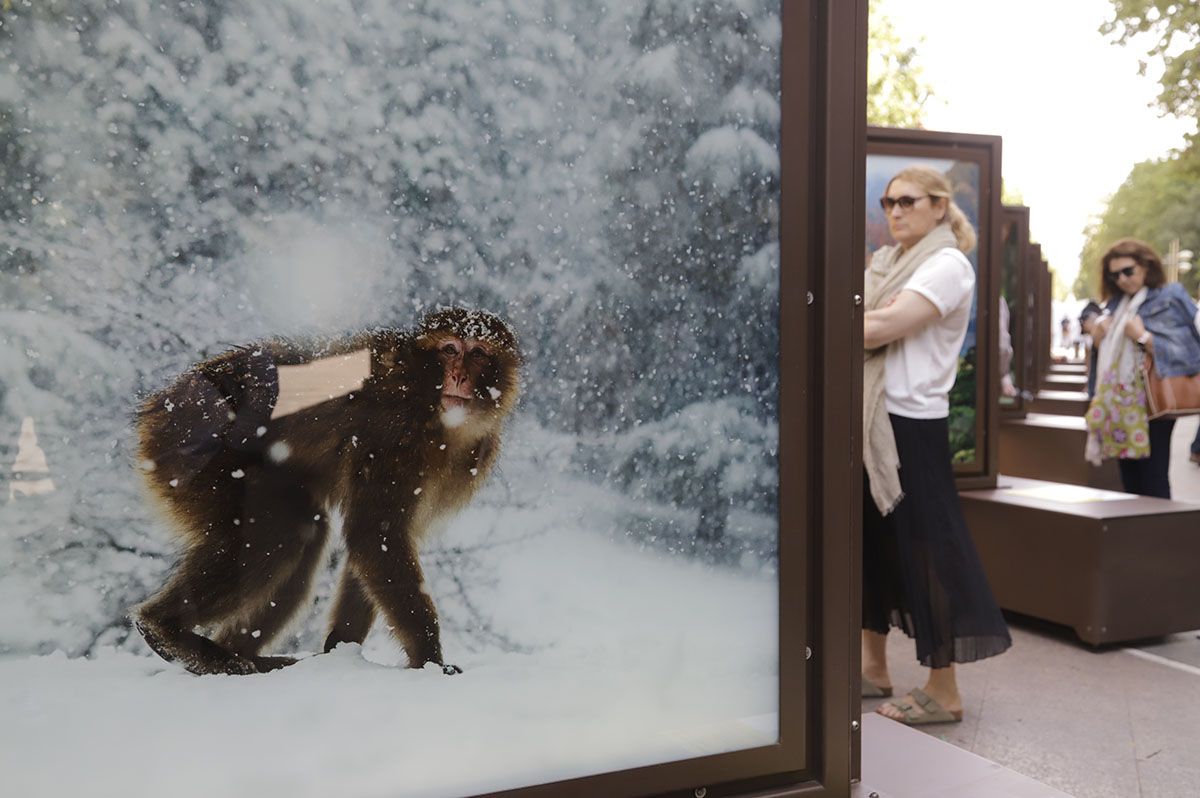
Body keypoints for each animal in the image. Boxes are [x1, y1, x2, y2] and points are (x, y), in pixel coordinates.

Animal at [133, 304, 523, 672]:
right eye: (449, 349)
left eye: (478, 353)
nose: (458, 375)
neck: (432, 408)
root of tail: (158, 406)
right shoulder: (393, 434)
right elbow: (375, 534)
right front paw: (430, 660)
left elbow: (376, 542)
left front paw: (340, 648)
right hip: (202, 460)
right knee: (277, 535)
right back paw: (164, 630)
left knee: (303, 531)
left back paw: (239, 654)